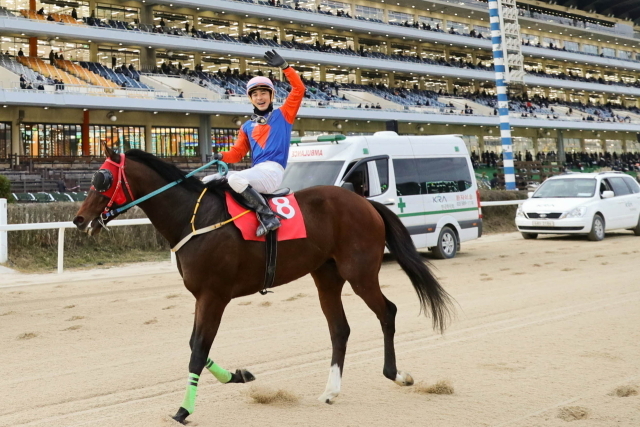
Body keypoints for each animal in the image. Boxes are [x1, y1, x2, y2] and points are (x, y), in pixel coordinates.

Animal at [72, 148, 452, 424]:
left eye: (102, 179)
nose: (79, 219)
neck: (194, 219)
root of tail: (364, 201)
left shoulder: (214, 295)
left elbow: (198, 350)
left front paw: (184, 410)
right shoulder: (202, 296)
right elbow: (197, 345)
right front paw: (238, 376)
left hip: (360, 273)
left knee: (387, 312)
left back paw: (396, 374)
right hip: (326, 276)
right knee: (339, 329)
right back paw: (331, 390)